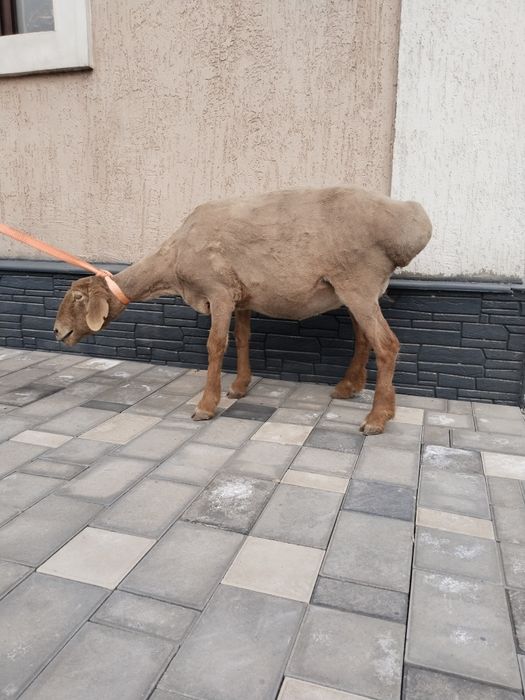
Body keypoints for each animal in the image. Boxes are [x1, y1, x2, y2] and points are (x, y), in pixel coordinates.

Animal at [54, 186, 431, 434]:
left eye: (77, 298)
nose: (57, 331)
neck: (173, 261)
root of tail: (411, 222)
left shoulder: (219, 292)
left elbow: (216, 346)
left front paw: (206, 406)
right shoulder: (242, 297)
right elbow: (243, 338)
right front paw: (239, 387)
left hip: (357, 282)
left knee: (387, 345)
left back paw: (378, 418)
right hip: (353, 289)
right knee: (365, 339)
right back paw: (349, 388)